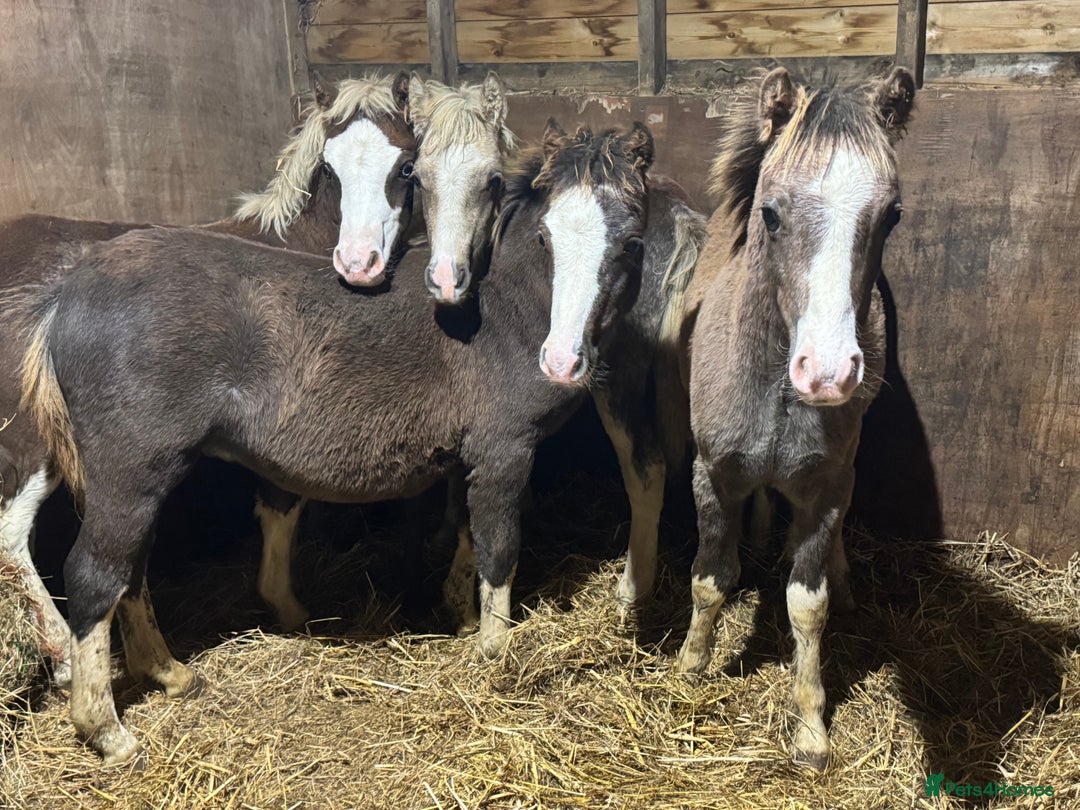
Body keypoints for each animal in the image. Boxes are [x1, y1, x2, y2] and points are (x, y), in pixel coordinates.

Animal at [0, 71, 418, 686]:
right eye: (329, 167)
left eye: (406, 166)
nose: (359, 263)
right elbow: (282, 505)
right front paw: (287, 606)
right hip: (33, 439)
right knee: (16, 535)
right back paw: (69, 659)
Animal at [13, 121, 657, 765]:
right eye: (547, 237)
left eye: (630, 244)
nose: (563, 362)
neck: (504, 310)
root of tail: (65, 297)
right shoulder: (505, 451)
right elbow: (500, 550)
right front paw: (495, 656)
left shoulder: (469, 458)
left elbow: (467, 532)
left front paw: (459, 614)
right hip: (131, 471)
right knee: (96, 576)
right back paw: (108, 731)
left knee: (133, 570)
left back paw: (171, 674)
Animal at [662, 66, 916, 770]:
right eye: (770, 213)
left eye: (892, 215)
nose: (827, 373)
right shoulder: (712, 475)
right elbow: (710, 580)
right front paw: (691, 667)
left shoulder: (825, 488)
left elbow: (808, 604)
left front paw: (811, 728)